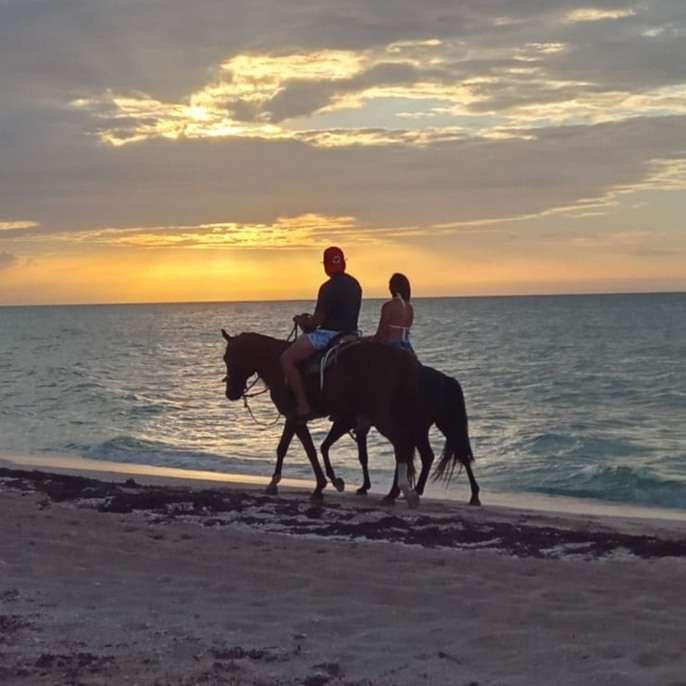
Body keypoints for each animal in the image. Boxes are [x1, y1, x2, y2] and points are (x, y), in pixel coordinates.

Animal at [221, 330, 422, 507]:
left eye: (230, 358)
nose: (230, 393)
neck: (276, 363)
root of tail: (399, 358)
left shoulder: (294, 417)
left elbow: (295, 449)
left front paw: (306, 485)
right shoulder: (297, 420)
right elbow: (300, 449)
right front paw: (319, 485)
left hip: (379, 414)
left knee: (400, 443)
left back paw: (400, 492)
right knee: (402, 445)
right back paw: (395, 493)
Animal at [319, 365, 481, 505]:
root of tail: (446, 380)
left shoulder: (345, 421)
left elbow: (325, 447)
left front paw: (339, 482)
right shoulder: (359, 426)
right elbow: (361, 456)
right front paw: (364, 486)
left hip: (432, 426)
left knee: (454, 453)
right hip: (425, 428)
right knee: (431, 455)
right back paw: (415, 490)